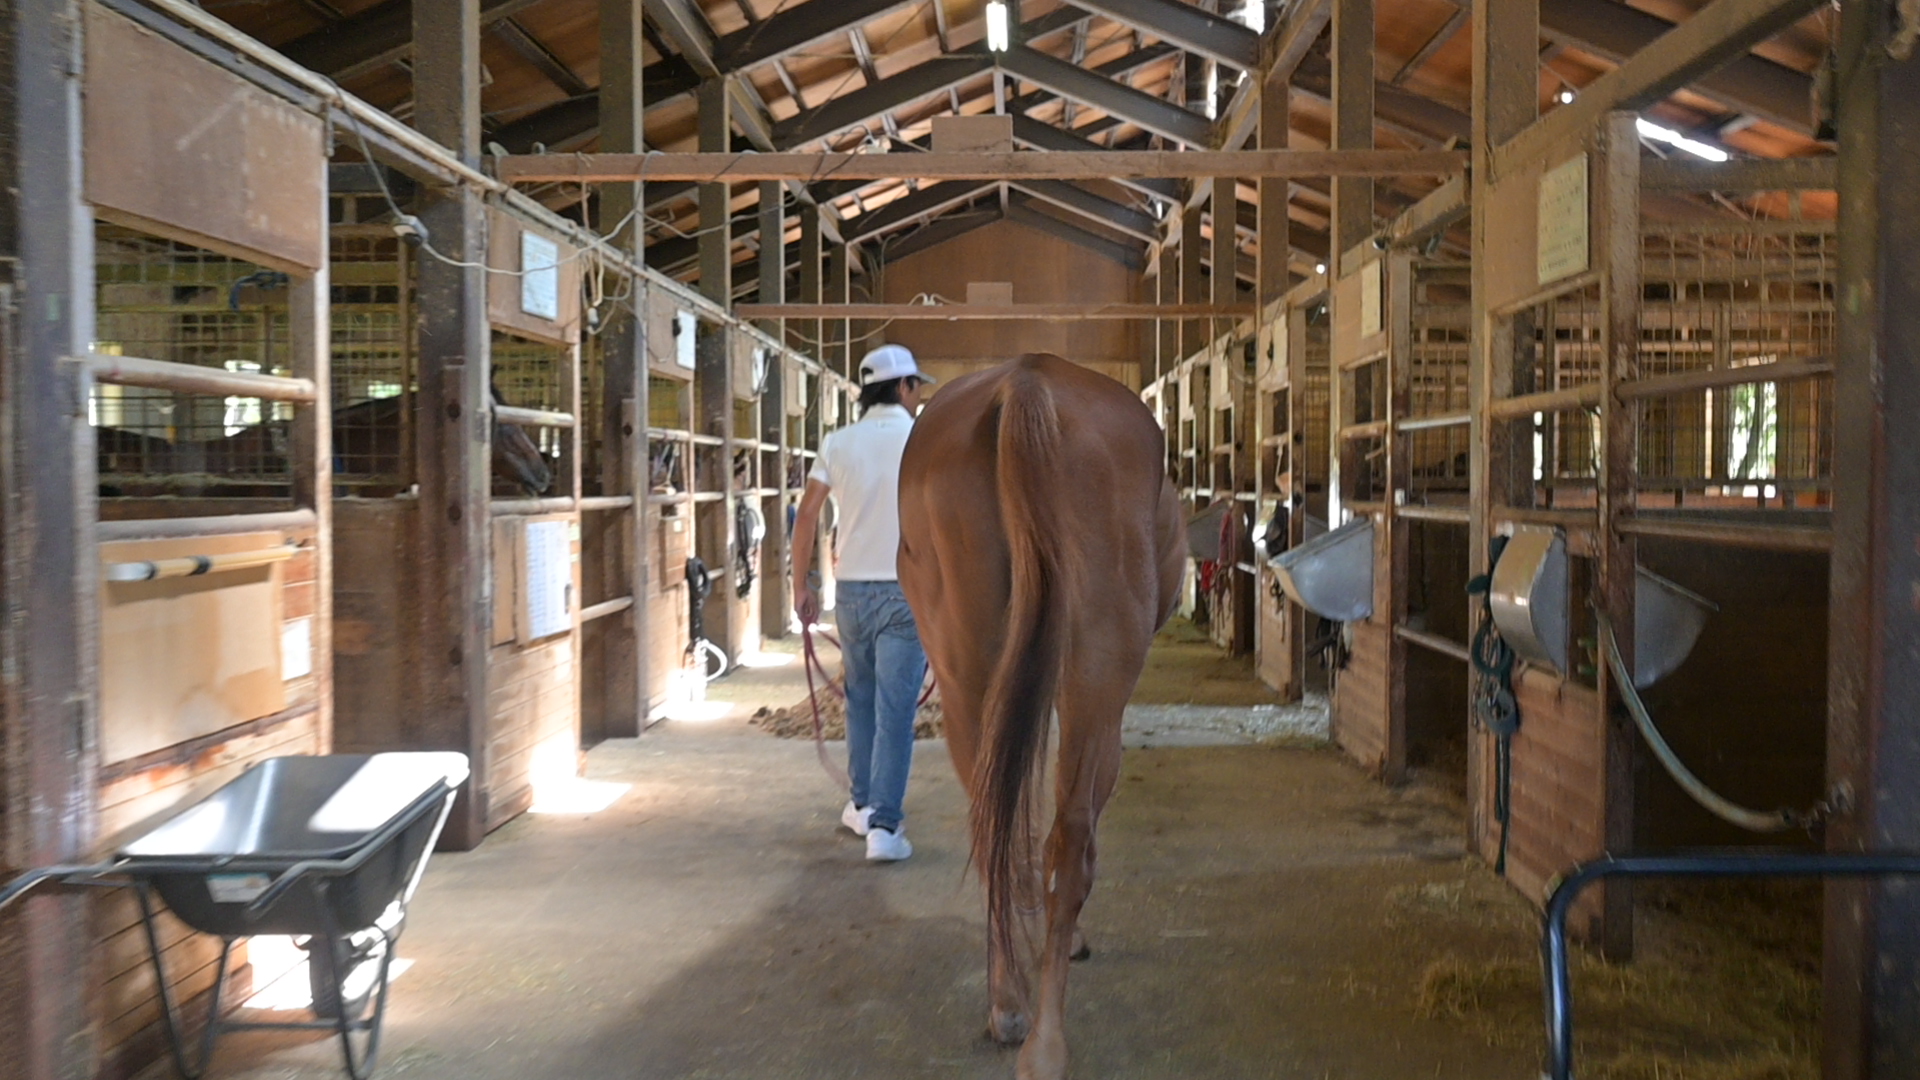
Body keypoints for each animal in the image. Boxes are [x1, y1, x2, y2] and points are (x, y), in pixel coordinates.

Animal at [896, 353, 1186, 1080]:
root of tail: (1026, 380)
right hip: (1095, 676)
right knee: (1070, 835)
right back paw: (1048, 1042)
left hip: (968, 669)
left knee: (994, 821)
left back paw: (1008, 1005)